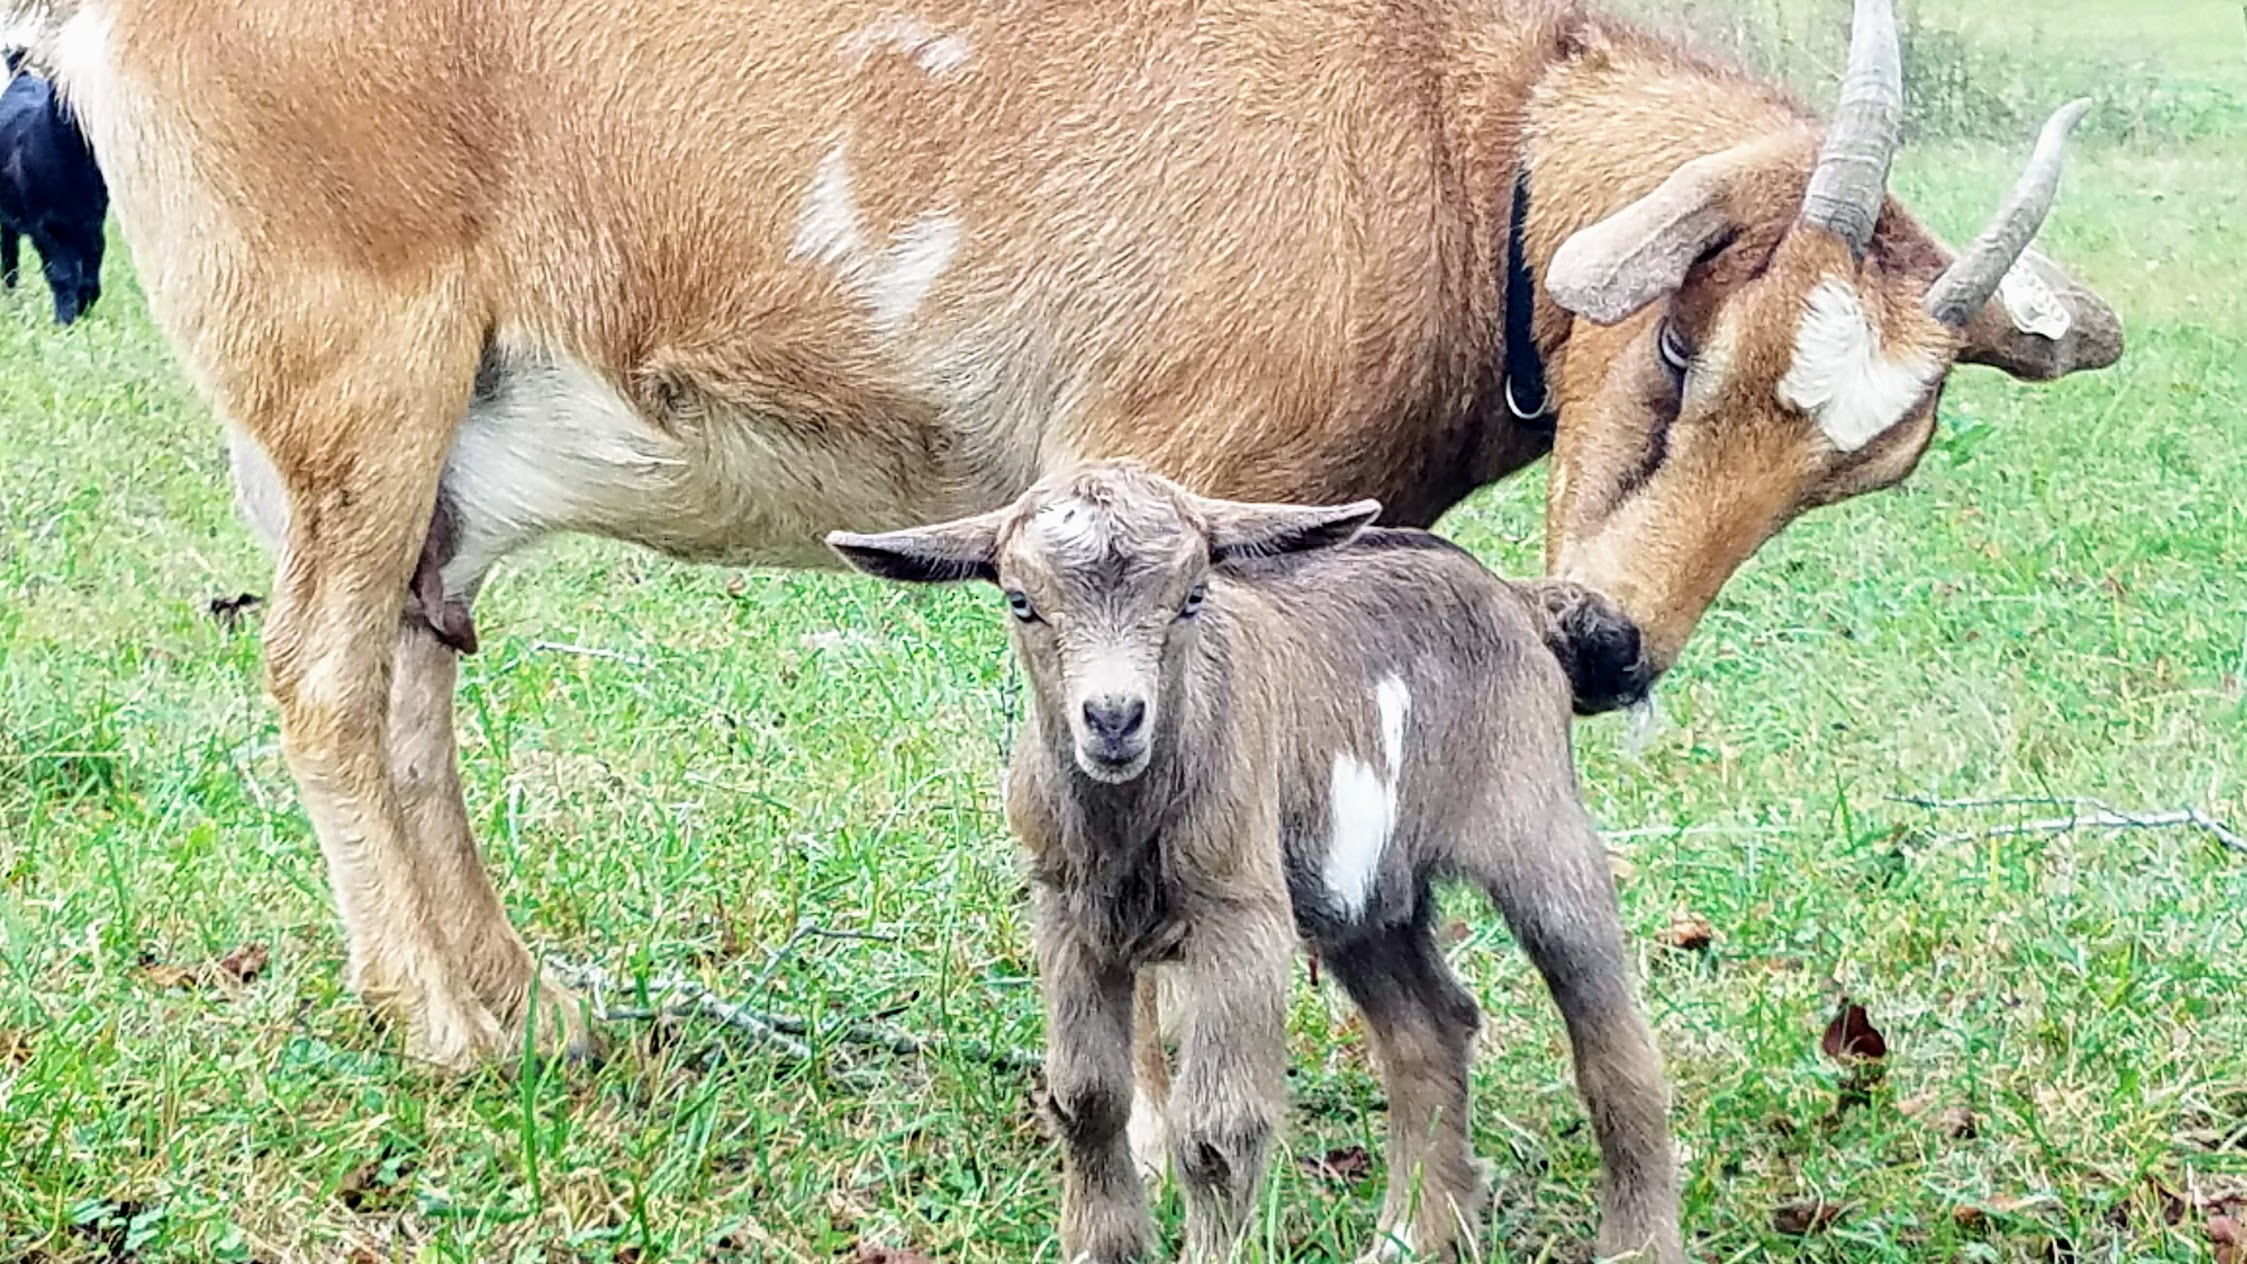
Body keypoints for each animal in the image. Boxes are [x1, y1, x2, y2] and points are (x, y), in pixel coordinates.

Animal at [17, 0, 2112, 1068]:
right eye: (1682, 338)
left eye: (1866, 467)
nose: (1602, 643)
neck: (1451, 135)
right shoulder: (1178, 469)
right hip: (343, 355)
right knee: (316, 672)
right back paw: (447, 1033)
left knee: (401, 676)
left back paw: (528, 1005)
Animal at [835, 464, 1680, 1264]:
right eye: (1020, 602)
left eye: (1192, 597)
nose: (1113, 718)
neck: (1126, 823)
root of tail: (1519, 600)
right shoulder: (1067, 914)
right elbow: (1086, 1098)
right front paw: (1100, 1246)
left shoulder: (1238, 919)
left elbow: (1215, 1132)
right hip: (1361, 893)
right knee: (1428, 1029)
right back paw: (1412, 1233)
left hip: (1533, 824)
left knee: (1608, 1033)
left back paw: (1637, 1241)